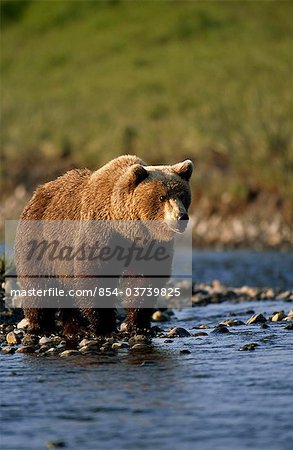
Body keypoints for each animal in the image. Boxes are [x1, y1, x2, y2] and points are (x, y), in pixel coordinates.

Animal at [14, 155, 193, 334]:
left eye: (182, 195)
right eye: (162, 197)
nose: (181, 216)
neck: (126, 229)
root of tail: (37, 192)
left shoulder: (149, 245)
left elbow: (145, 279)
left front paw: (138, 323)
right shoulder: (99, 233)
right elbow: (94, 276)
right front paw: (103, 324)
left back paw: (73, 327)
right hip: (38, 240)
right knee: (38, 284)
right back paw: (41, 325)